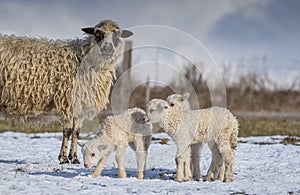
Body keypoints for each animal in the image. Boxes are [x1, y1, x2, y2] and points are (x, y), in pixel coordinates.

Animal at [0, 19, 134, 164]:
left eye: (117, 35)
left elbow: (76, 131)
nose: (108, 48)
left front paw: (74, 158)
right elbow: (68, 131)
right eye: (98, 33)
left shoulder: (80, 106)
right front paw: (63, 158)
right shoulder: (67, 102)